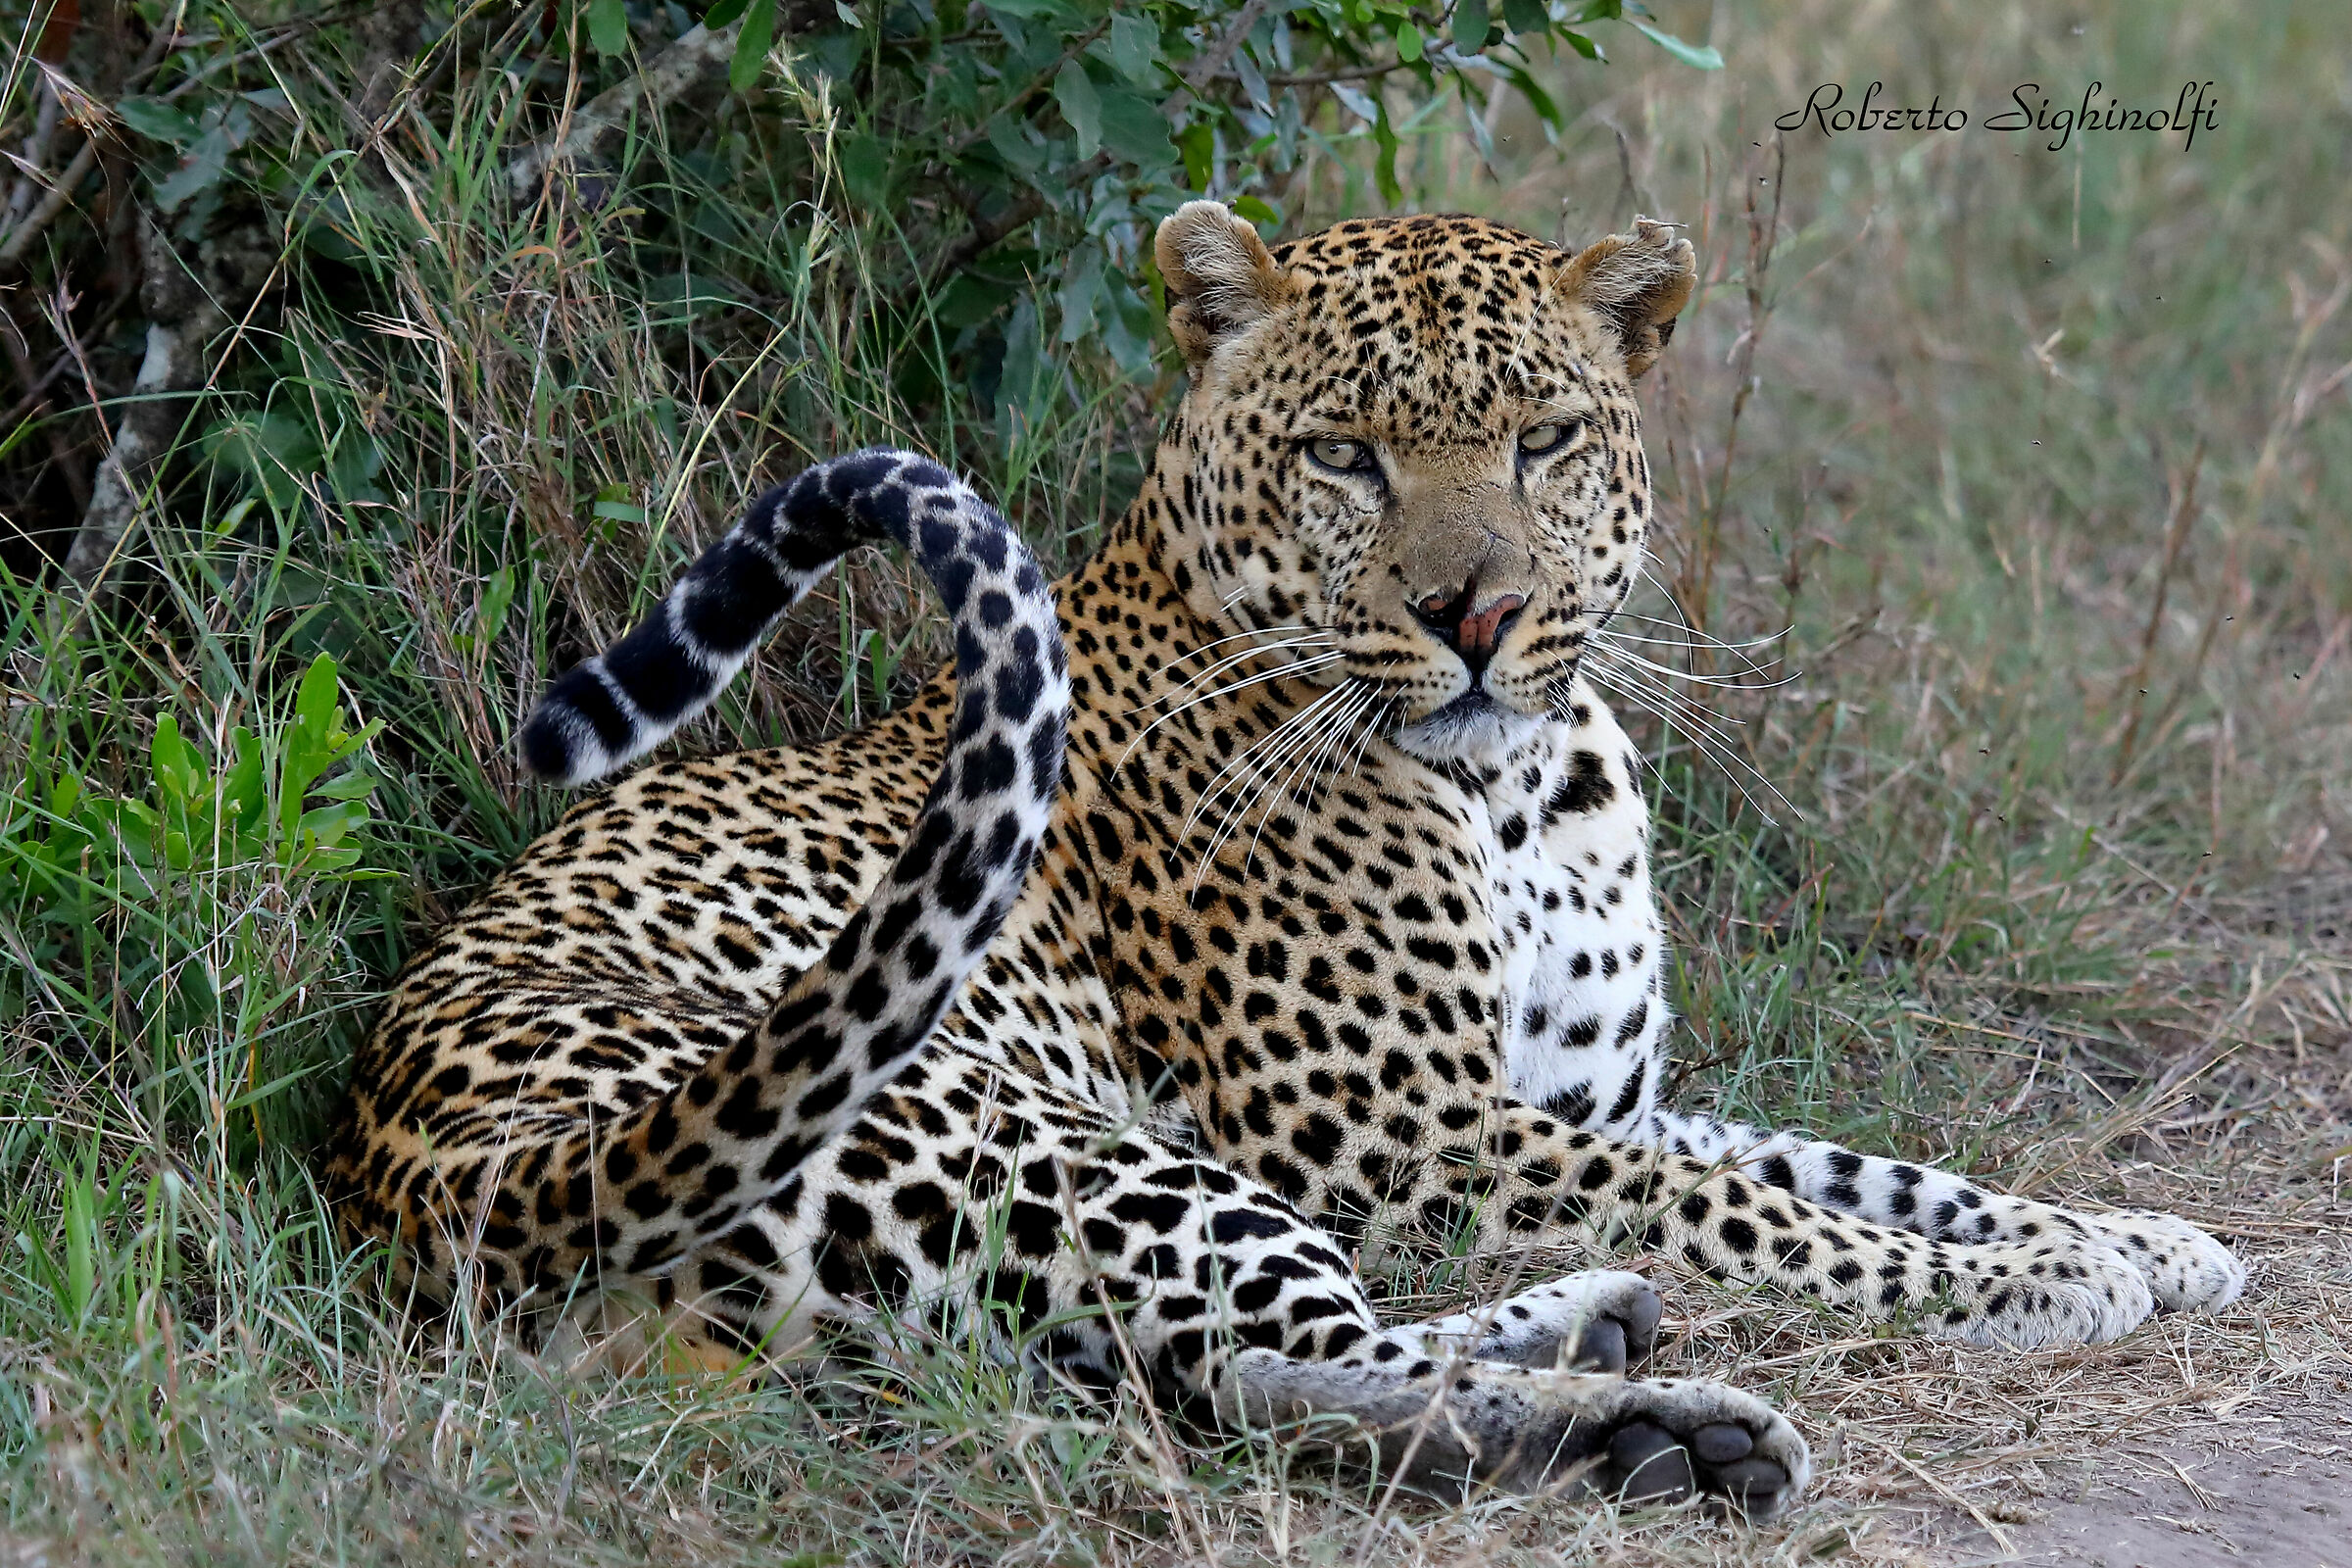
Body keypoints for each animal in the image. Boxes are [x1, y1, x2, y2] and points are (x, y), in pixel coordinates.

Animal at [325, 204, 2245, 1518]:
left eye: (1545, 441)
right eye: (1346, 455)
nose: (1475, 614)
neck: (1520, 786)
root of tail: (445, 1184)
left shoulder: (1589, 1099)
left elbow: (1851, 1167)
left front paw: (2137, 1234)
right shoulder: (1394, 1127)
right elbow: (1761, 1210)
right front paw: (2037, 1284)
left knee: (1219, 1364)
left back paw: (1616, 1361)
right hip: (1042, 1136)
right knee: (1278, 1370)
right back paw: (1660, 1417)